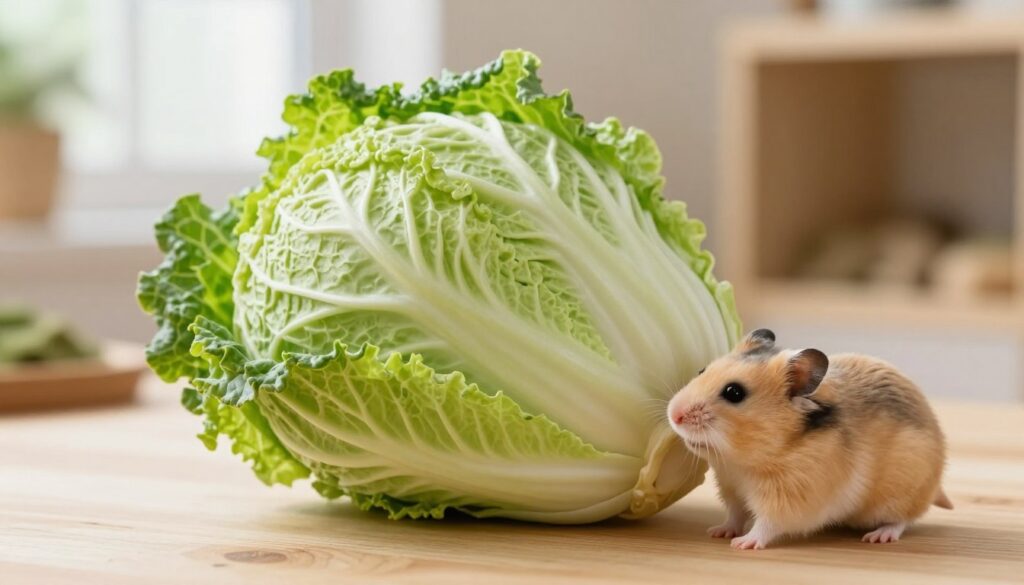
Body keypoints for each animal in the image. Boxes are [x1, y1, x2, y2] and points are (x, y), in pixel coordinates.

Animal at [667, 329, 951, 549]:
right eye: (702, 370)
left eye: (734, 392)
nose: (673, 415)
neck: (745, 463)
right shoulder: (732, 488)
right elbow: (735, 515)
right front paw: (718, 532)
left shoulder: (791, 497)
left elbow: (767, 523)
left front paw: (743, 543)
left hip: (902, 492)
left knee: (903, 518)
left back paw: (878, 536)